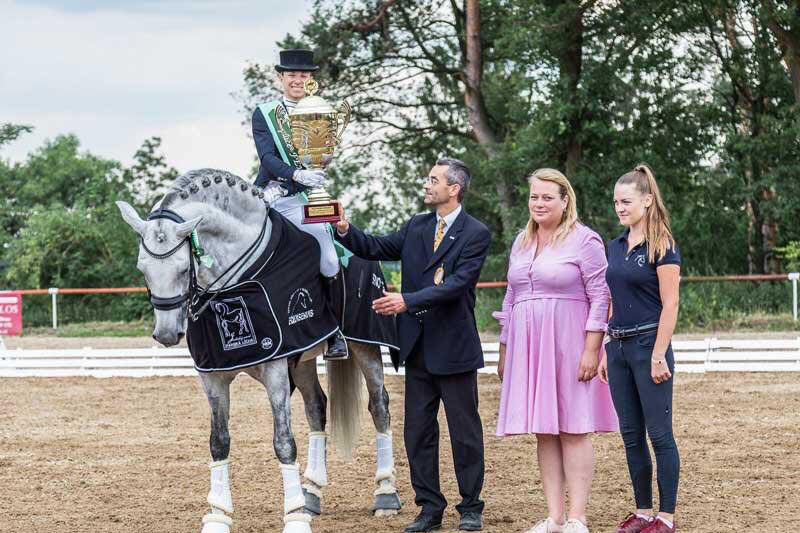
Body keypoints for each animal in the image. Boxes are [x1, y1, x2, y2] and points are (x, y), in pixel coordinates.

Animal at [114, 169, 400, 532]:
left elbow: (284, 442)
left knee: (379, 406)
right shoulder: (213, 377)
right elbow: (219, 442)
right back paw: (311, 493)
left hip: (366, 345)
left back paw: (385, 495)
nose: (165, 334)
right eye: (143, 269)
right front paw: (218, 516)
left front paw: (293, 518)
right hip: (302, 358)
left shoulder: (275, 369)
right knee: (317, 408)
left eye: (182, 269)